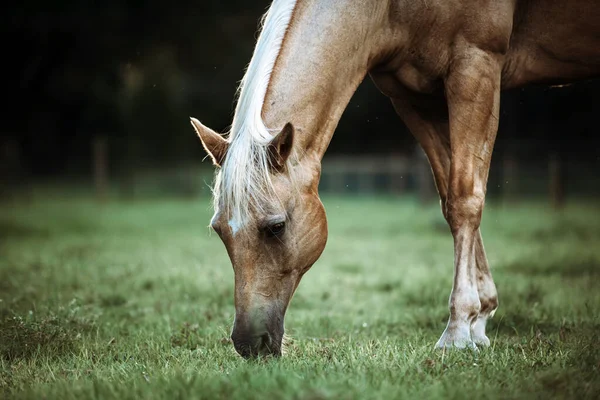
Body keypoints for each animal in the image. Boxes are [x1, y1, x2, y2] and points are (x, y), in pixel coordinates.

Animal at [189, 0, 600, 356]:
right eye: (219, 231)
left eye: (275, 227)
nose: (248, 343)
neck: (389, 8)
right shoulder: (414, 97)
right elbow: (451, 199)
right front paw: (479, 320)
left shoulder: (476, 66)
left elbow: (467, 198)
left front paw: (457, 331)